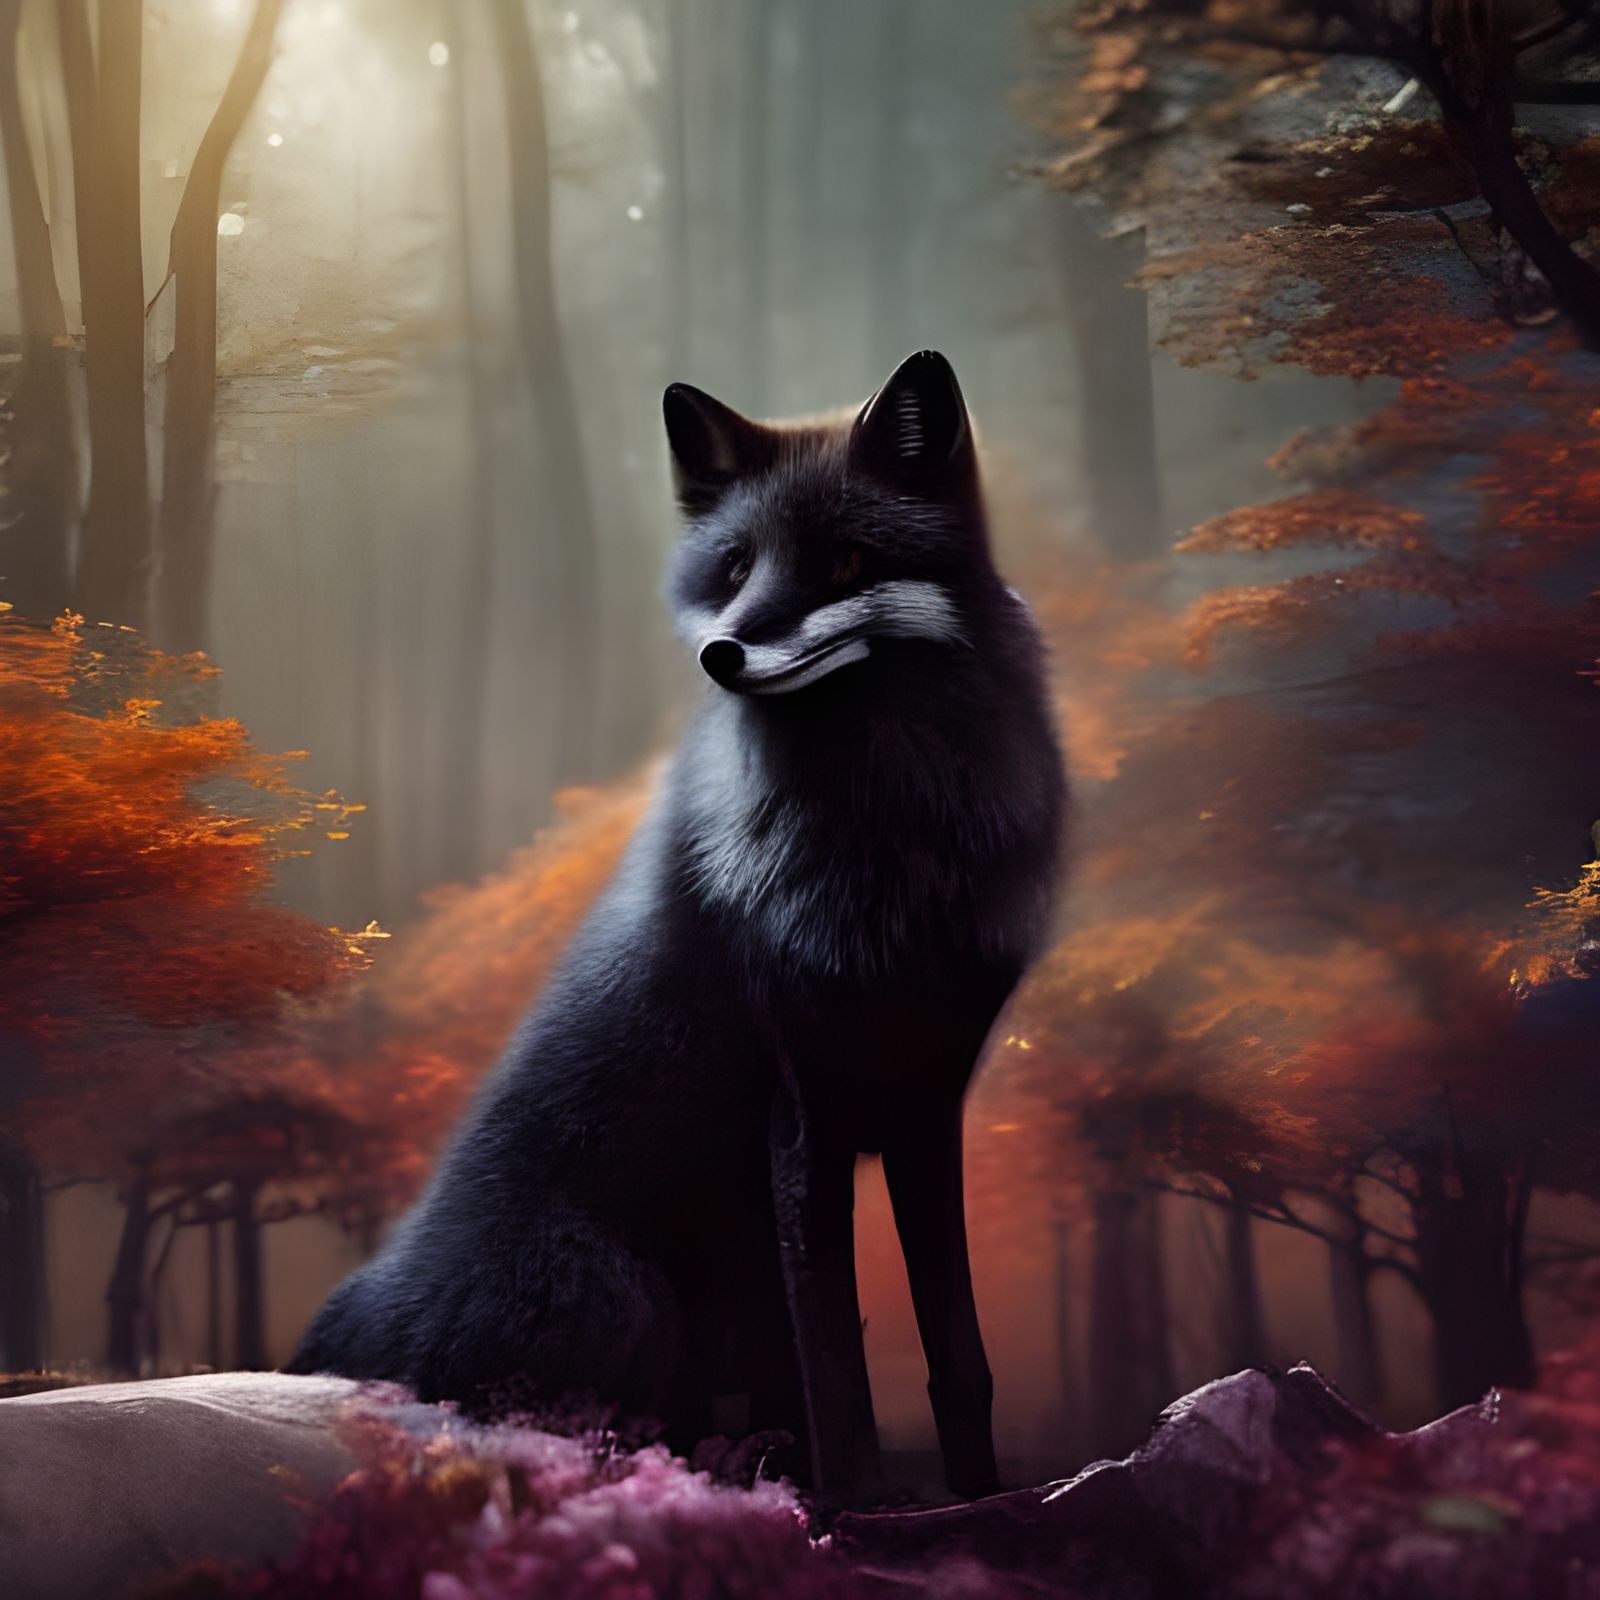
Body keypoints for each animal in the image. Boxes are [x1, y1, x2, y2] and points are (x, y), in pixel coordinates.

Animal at [286, 350, 1068, 1502]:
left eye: (844, 557)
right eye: (735, 565)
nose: (725, 654)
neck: (882, 862)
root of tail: (328, 1335)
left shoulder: (926, 1103)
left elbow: (956, 1359)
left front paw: (982, 1498)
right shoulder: (801, 1111)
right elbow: (835, 1372)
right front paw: (856, 1510)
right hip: (630, 1302)